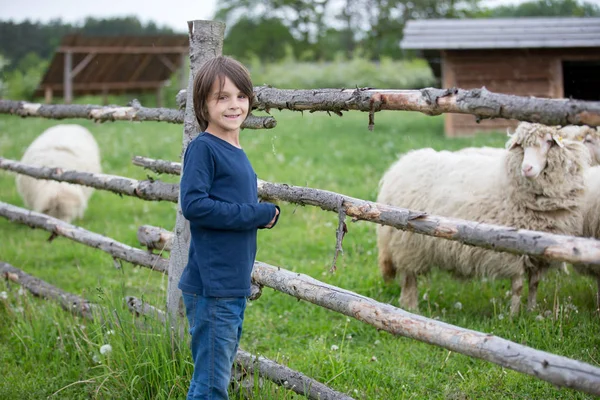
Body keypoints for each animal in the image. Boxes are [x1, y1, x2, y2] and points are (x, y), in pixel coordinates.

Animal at [378, 122, 588, 316]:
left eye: (549, 142)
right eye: (521, 146)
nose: (527, 168)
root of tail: (400, 165)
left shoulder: (539, 254)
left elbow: (534, 284)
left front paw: (531, 312)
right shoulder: (513, 250)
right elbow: (518, 286)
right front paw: (513, 316)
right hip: (407, 244)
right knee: (409, 278)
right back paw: (411, 307)